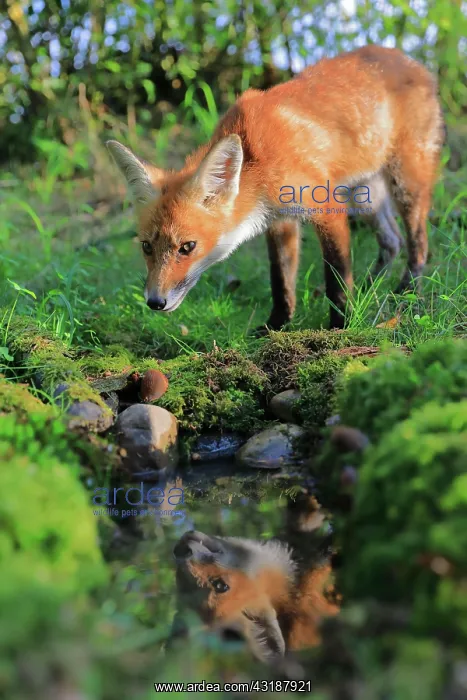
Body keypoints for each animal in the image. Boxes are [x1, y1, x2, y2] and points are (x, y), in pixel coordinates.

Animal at [107, 45, 443, 329]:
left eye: (187, 247)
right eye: (146, 246)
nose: (154, 302)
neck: (257, 161)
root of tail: (412, 61)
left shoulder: (326, 208)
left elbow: (336, 275)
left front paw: (340, 325)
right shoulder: (279, 221)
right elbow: (281, 281)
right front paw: (275, 326)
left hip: (404, 184)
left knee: (418, 244)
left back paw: (406, 292)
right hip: (365, 198)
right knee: (392, 241)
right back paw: (368, 291)